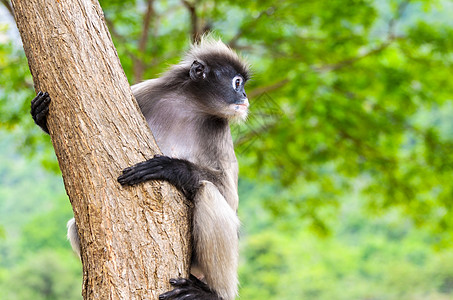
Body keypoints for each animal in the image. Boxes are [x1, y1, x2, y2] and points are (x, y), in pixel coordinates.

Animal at [30, 37, 251, 300]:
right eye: (237, 83)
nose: (245, 95)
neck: (189, 105)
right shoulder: (146, 92)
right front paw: (40, 116)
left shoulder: (220, 127)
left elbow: (230, 197)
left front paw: (171, 167)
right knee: (75, 224)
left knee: (208, 191)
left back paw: (213, 293)